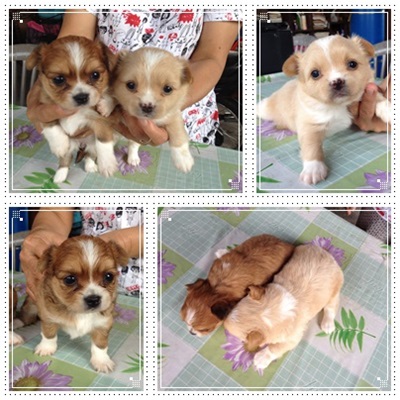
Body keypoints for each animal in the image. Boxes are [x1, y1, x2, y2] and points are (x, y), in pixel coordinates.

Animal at [27, 35, 118, 183]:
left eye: (95, 75)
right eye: (59, 79)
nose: (81, 97)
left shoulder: (100, 120)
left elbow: (103, 141)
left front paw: (107, 165)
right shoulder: (43, 108)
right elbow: (51, 126)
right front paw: (59, 145)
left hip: (91, 145)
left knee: (90, 154)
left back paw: (90, 166)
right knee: (66, 159)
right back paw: (60, 175)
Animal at [33, 235, 128, 373]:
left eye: (108, 276)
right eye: (70, 279)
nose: (93, 299)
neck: (80, 313)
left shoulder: (103, 323)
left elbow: (100, 344)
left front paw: (101, 361)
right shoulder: (48, 316)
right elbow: (48, 333)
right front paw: (46, 348)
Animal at [257, 35, 391, 185]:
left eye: (352, 64)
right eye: (315, 73)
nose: (337, 82)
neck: (337, 106)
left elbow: (378, 98)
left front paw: (388, 109)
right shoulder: (309, 126)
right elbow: (311, 147)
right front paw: (313, 168)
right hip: (268, 109)